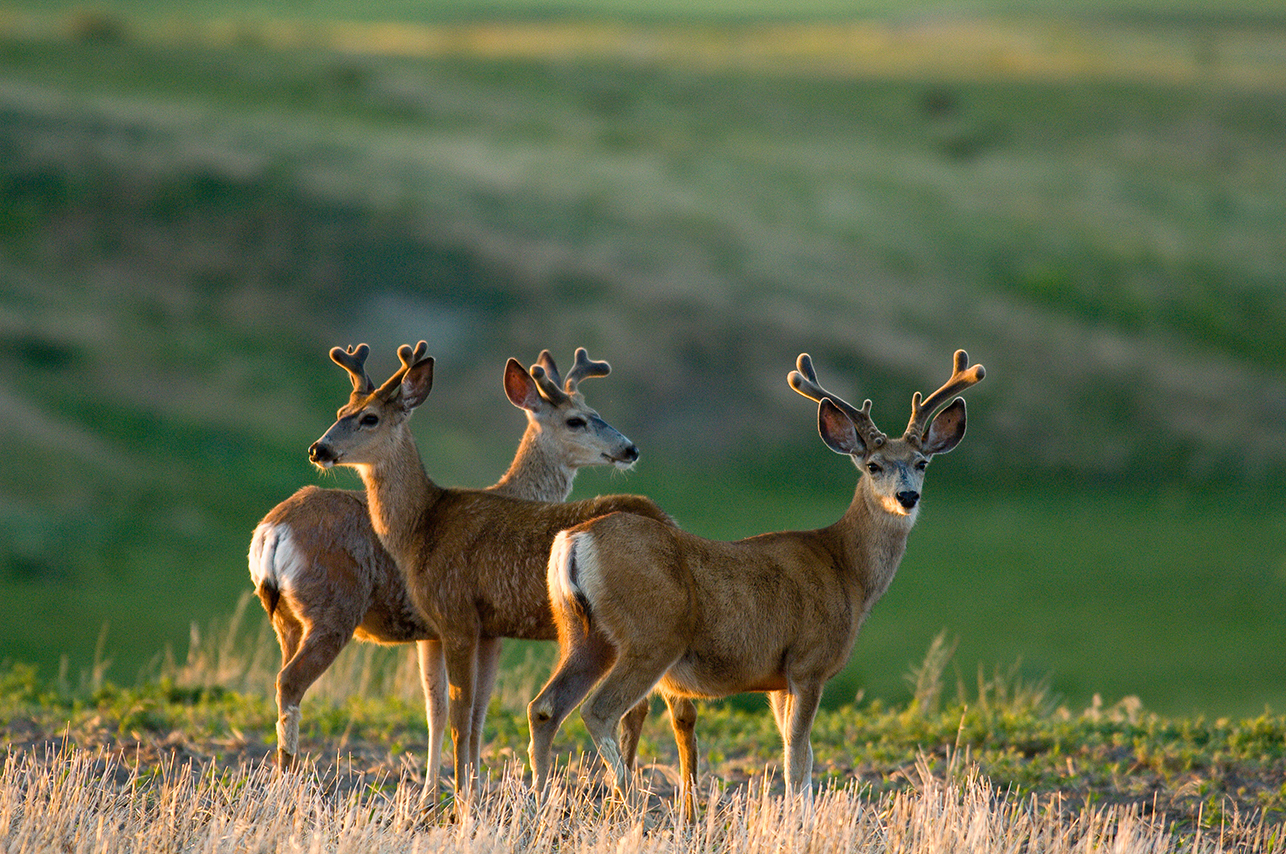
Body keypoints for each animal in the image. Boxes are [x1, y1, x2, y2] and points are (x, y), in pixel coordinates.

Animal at [249, 349, 648, 792]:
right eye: (576, 420)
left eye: (595, 412)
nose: (629, 448)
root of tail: (271, 529)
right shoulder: (466, 628)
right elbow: (461, 712)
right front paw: (456, 789)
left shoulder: (452, 632)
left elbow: (447, 712)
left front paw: (443, 789)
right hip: (332, 609)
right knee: (290, 682)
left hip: (287, 619)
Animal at [522, 349, 982, 817]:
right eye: (874, 465)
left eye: (922, 463)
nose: (907, 496)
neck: (846, 571)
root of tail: (574, 539)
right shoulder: (808, 662)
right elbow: (797, 755)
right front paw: (798, 818)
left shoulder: (777, 679)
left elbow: (798, 753)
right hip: (652, 636)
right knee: (597, 711)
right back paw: (629, 799)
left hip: (582, 632)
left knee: (544, 707)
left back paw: (539, 802)